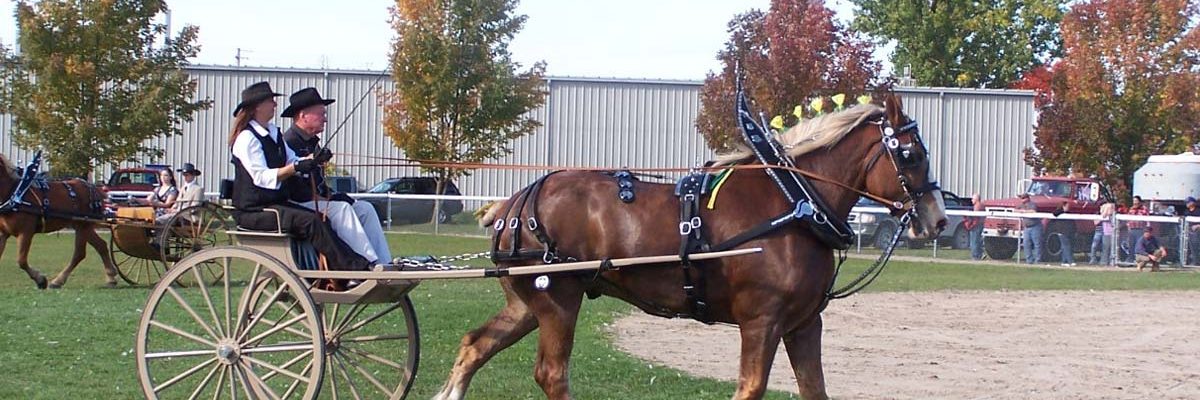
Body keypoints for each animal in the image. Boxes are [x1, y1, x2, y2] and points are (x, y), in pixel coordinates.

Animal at [0, 152, 118, 287]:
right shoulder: (3, 233)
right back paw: (111, 277)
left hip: (83, 226)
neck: (14, 193)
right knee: (100, 246)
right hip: (82, 225)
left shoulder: (26, 232)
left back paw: (58, 280)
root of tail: (94, 188)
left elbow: (22, 261)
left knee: (79, 253)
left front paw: (40, 280)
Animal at [434, 94, 945, 396]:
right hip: (559, 298)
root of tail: (516, 201)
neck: (793, 201)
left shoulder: (804, 324)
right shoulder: (762, 322)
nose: (937, 218)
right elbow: (751, 388)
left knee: (475, 346)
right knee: (552, 374)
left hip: (527, 303)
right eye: (912, 154)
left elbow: (814, 390)